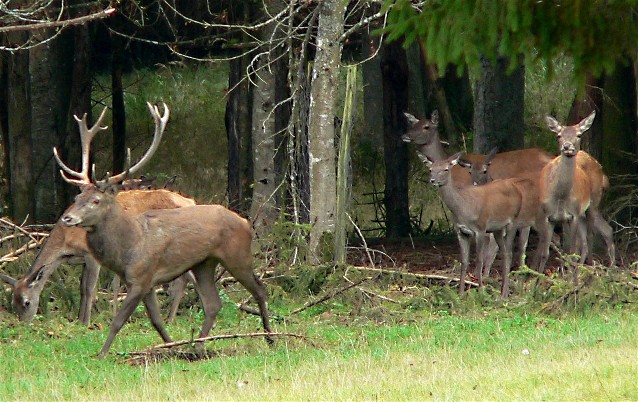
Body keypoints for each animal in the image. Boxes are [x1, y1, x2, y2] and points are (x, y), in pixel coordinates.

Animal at [1, 189, 195, 326]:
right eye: (13, 302)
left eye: (26, 302)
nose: (24, 323)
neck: (66, 242)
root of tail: (191, 201)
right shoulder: (81, 260)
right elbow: (81, 288)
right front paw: (79, 319)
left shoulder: (91, 255)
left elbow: (89, 289)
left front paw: (86, 322)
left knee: (183, 278)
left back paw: (171, 318)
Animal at [55, 102, 272, 356]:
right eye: (77, 197)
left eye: (96, 200)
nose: (67, 218)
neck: (128, 247)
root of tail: (246, 223)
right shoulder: (145, 283)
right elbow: (156, 320)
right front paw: (171, 346)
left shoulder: (141, 277)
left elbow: (118, 320)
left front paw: (102, 354)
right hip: (204, 263)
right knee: (213, 303)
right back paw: (197, 347)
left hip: (237, 255)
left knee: (260, 290)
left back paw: (270, 337)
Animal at [422, 151, 532, 296]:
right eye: (430, 169)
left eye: (446, 169)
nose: (433, 180)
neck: (463, 208)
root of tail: (517, 189)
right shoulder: (461, 231)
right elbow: (464, 261)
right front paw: (460, 293)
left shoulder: (480, 229)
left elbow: (479, 260)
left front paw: (480, 291)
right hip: (497, 229)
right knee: (504, 253)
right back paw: (503, 291)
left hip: (513, 222)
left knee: (509, 252)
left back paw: (504, 293)